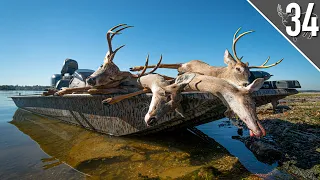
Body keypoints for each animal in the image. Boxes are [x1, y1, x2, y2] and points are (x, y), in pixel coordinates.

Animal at [130, 27, 282, 87]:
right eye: (238, 68)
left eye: (250, 72)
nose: (246, 84)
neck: (220, 74)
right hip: (183, 63)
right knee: (166, 64)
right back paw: (134, 68)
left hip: (182, 65)